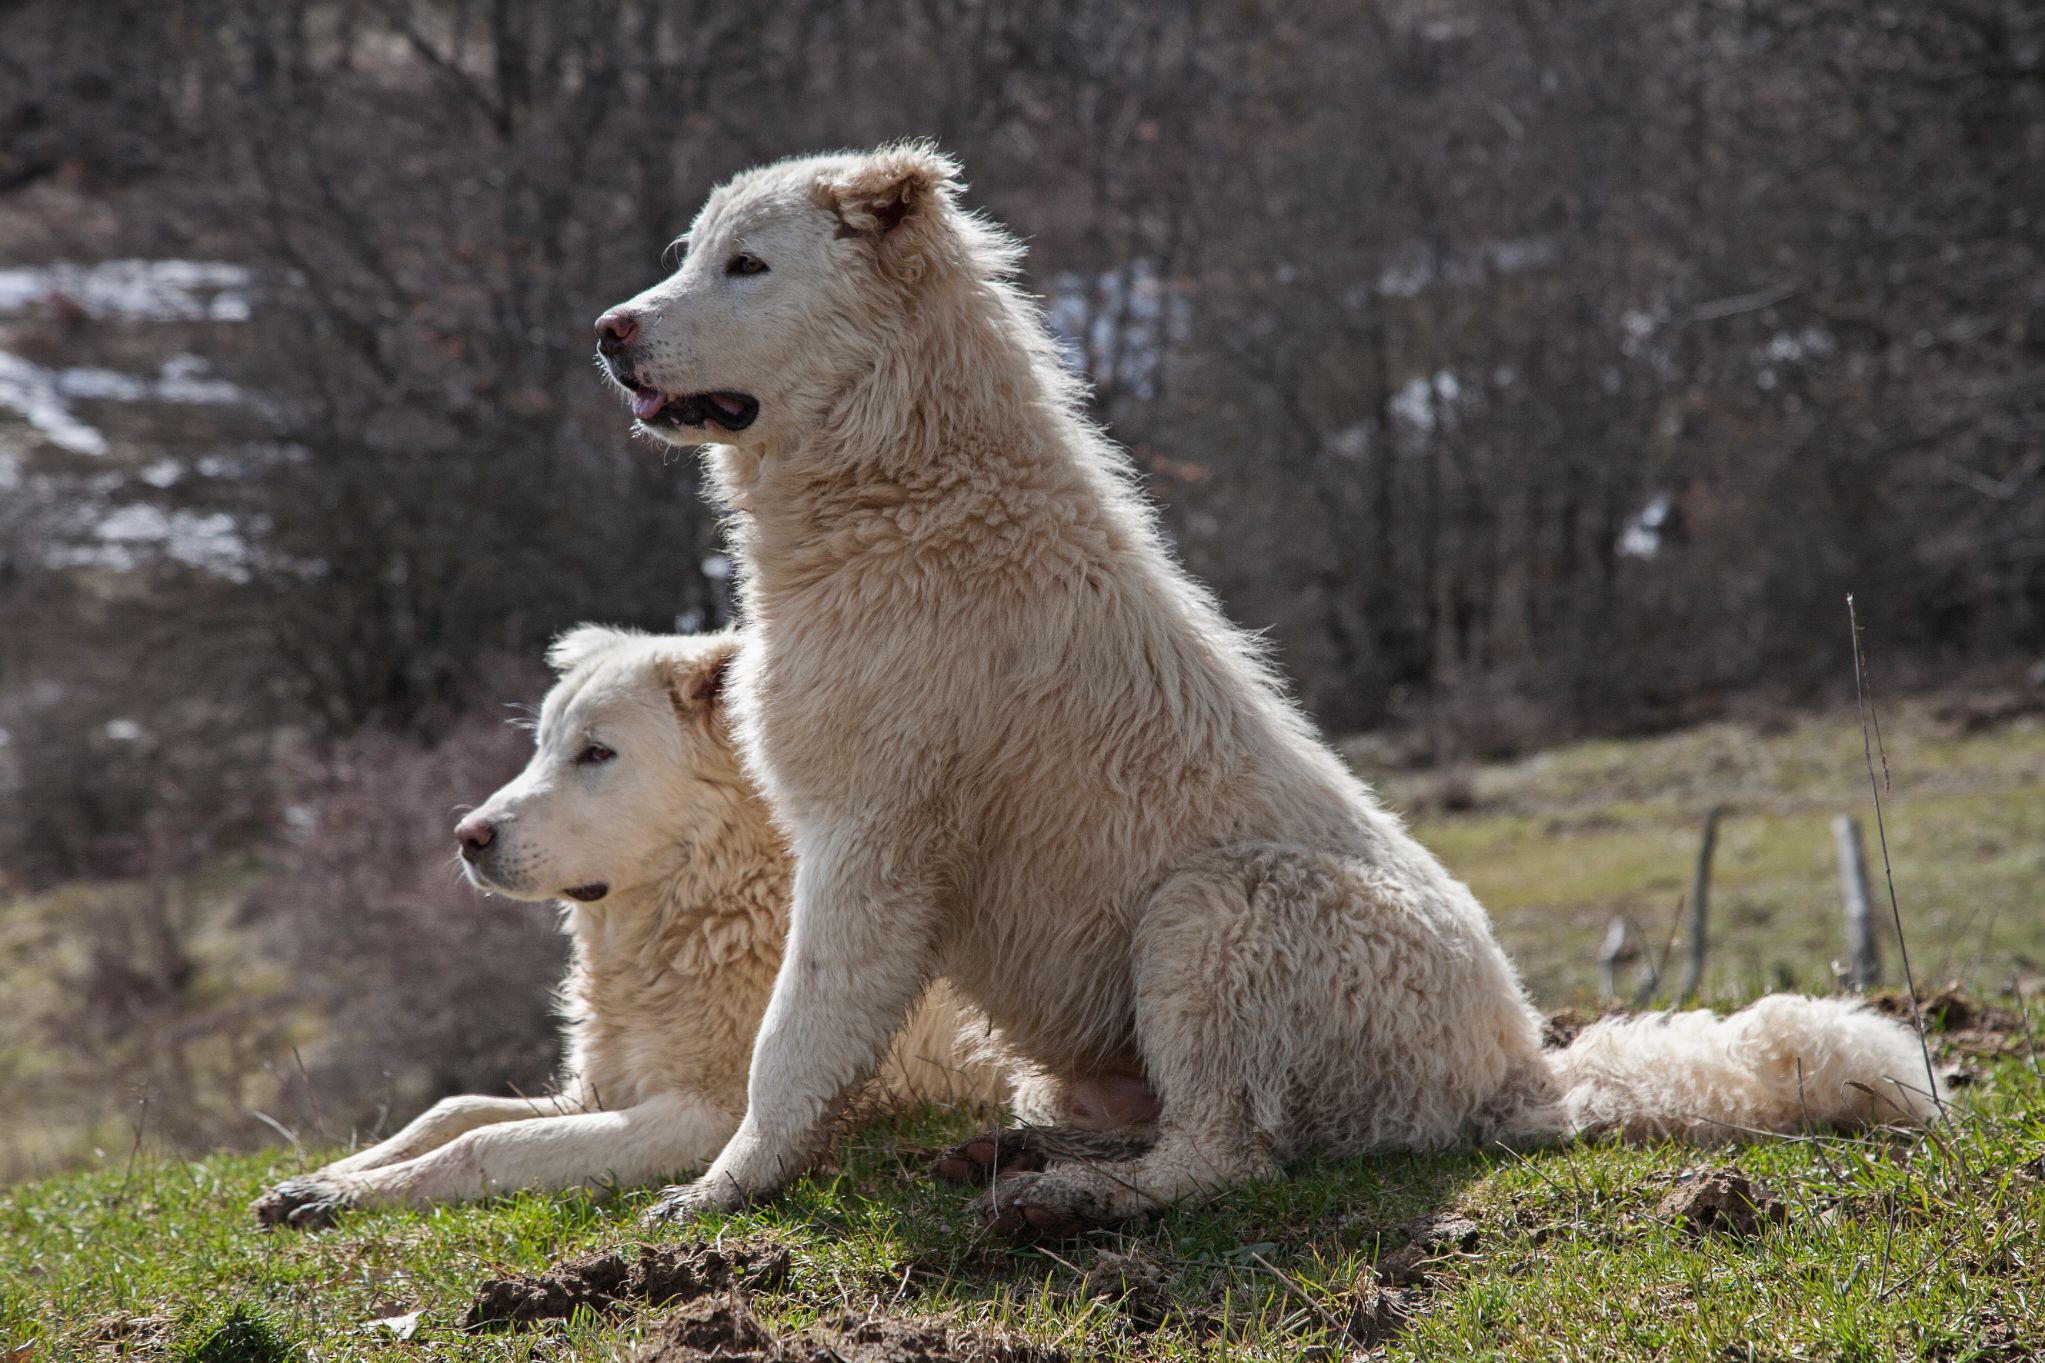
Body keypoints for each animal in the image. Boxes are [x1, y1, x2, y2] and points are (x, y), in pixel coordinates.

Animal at [251, 629, 1002, 1226]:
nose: (467, 837)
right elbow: (454, 1109)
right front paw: (328, 1178)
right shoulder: (599, 1089)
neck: (701, 916)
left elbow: (486, 1141)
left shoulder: (706, 1115)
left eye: (595, 754)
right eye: (542, 746)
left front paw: (346, 1195)